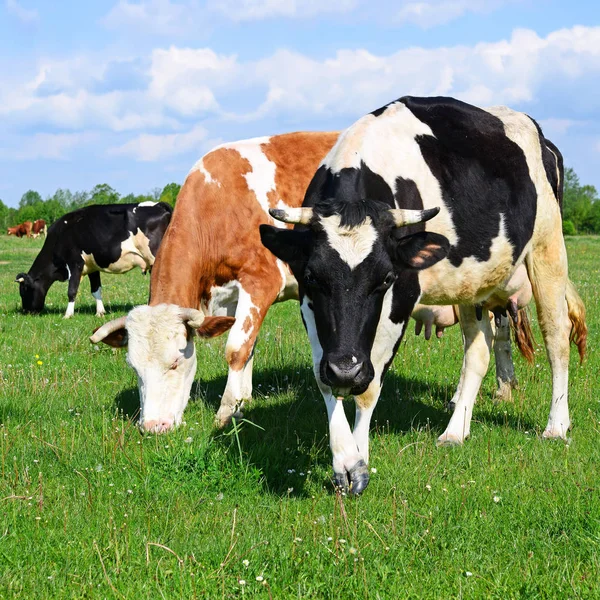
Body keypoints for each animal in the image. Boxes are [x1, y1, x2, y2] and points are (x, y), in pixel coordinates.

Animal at [14, 200, 173, 316]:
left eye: (24, 290)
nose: (26, 311)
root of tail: (157, 205)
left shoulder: (75, 263)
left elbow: (72, 290)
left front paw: (68, 314)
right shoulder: (92, 267)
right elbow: (96, 290)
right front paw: (100, 312)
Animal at [91, 131, 340, 432]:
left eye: (175, 362)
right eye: (134, 367)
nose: (152, 426)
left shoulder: (260, 282)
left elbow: (237, 348)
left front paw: (226, 411)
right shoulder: (228, 293)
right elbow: (249, 346)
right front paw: (242, 402)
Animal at [262, 96, 584, 494]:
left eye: (385, 278)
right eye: (312, 276)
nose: (347, 369)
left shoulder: (400, 298)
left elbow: (369, 388)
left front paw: (359, 461)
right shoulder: (311, 308)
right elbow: (323, 378)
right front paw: (343, 459)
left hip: (548, 247)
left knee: (556, 336)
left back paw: (556, 425)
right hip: (474, 281)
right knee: (478, 348)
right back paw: (455, 430)